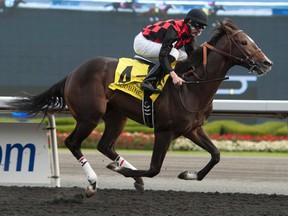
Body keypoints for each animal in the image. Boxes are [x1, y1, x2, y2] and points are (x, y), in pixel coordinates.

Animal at [7, 18, 272, 197]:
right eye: (243, 42)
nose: (266, 63)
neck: (192, 85)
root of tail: (73, 73)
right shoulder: (164, 131)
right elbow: (154, 169)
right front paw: (122, 173)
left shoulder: (192, 129)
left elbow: (216, 155)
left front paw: (188, 174)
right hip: (89, 116)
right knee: (73, 143)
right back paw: (93, 183)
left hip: (116, 116)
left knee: (105, 145)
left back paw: (125, 171)